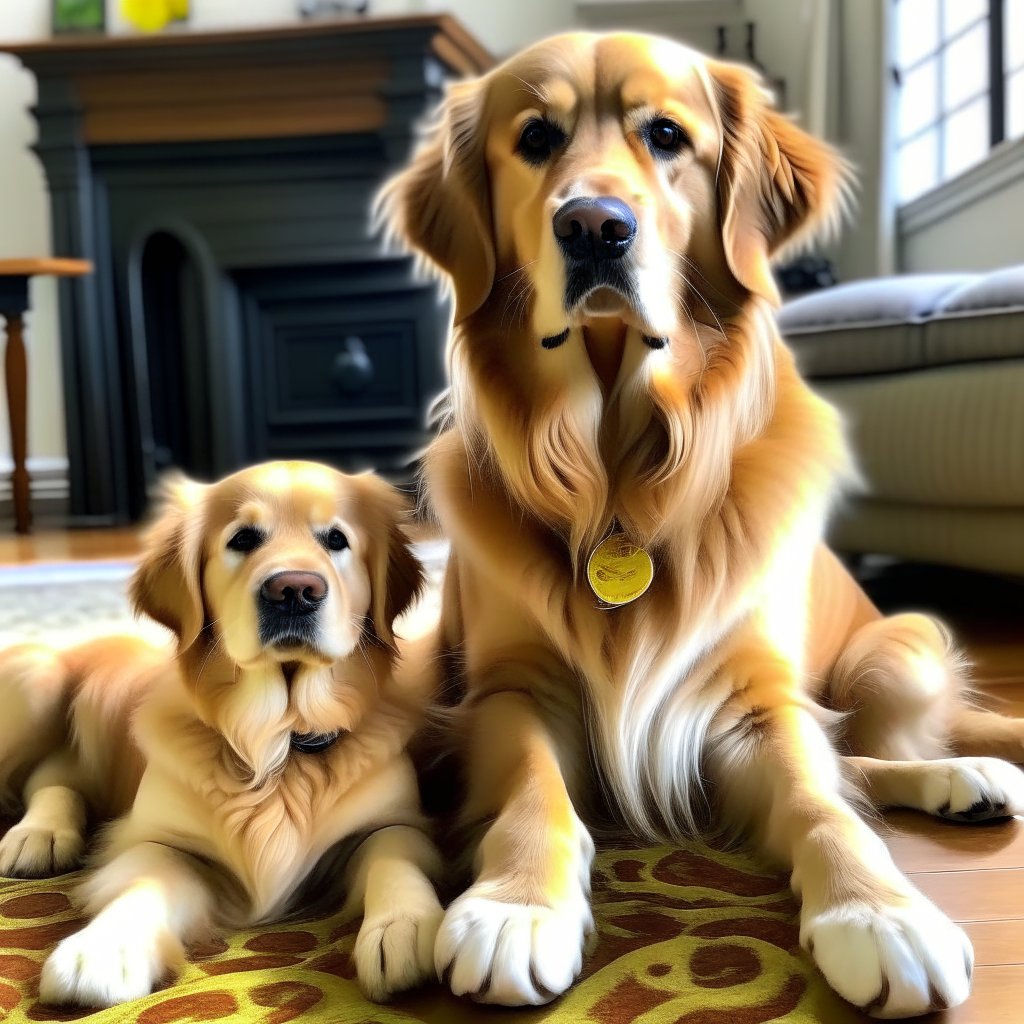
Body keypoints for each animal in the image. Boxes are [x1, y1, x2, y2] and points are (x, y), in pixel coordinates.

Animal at [2, 464, 446, 1007]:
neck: (280, 739)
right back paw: (35, 835)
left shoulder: (394, 824)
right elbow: (146, 879)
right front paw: (104, 949)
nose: (294, 590)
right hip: (36, 676)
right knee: (48, 776)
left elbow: (393, 857)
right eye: (243, 539)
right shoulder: (157, 839)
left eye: (337, 540)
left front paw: (405, 924)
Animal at [380, 29, 1024, 1015]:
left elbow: (820, 799)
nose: (594, 225)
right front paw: (516, 907)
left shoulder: (754, 700)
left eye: (667, 136)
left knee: (856, 754)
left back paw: (961, 774)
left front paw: (879, 912)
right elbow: (534, 790)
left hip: (896, 652)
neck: (616, 469)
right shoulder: (511, 691)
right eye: (534, 139)